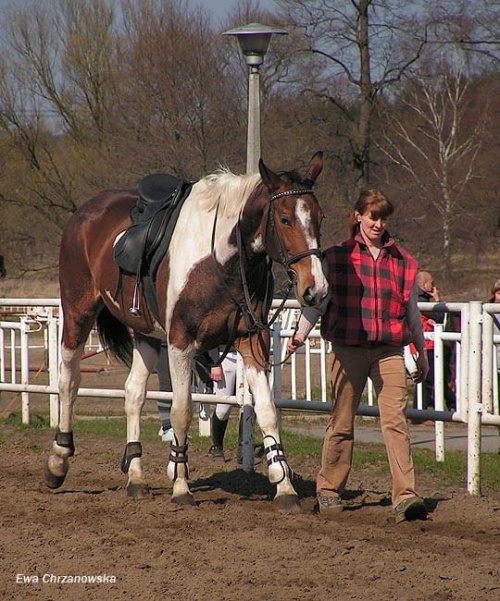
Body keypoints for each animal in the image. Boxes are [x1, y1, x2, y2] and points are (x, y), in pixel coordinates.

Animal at [45, 151, 328, 510]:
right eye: (285, 219)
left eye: (319, 217)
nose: (316, 289)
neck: (221, 260)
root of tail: (85, 212)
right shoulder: (181, 343)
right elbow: (181, 411)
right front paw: (181, 484)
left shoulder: (252, 341)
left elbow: (266, 412)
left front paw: (285, 487)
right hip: (77, 313)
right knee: (69, 380)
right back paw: (58, 461)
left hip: (147, 335)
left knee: (133, 393)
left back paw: (135, 476)